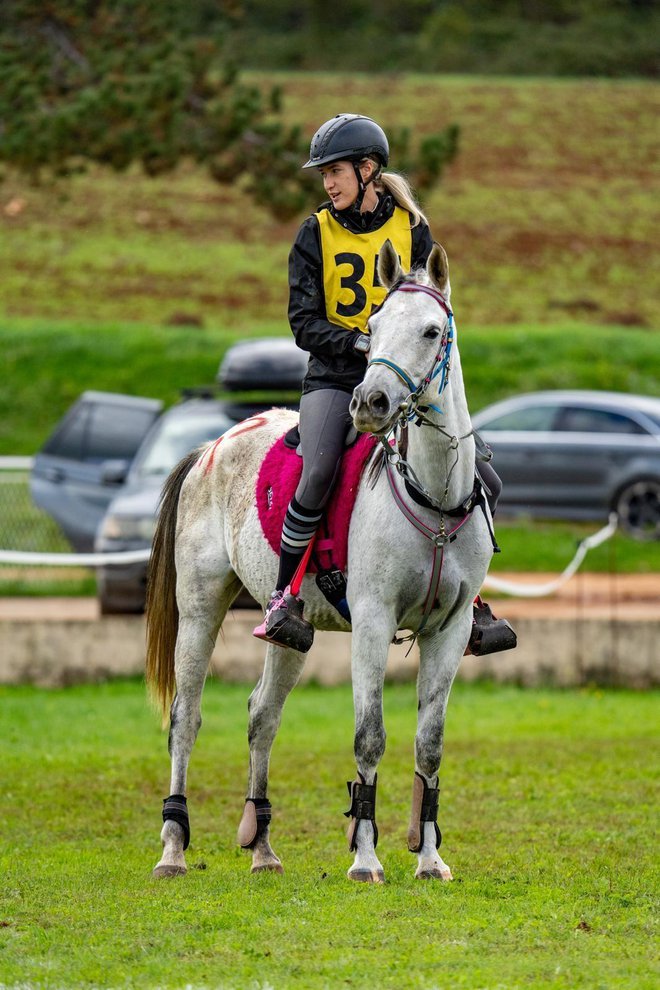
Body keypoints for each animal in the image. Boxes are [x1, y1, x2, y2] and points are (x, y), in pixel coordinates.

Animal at [146, 240, 496, 884]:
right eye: (373, 328)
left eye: (432, 331)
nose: (370, 402)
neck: (432, 498)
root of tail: (210, 446)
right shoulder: (374, 621)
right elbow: (370, 738)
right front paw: (365, 858)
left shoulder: (452, 629)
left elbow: (429, 744)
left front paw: (429, 858)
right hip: (200, 607)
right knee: (186, 717)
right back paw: (173, 849)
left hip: (291, 628)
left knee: (262, 715)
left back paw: (262, 846)